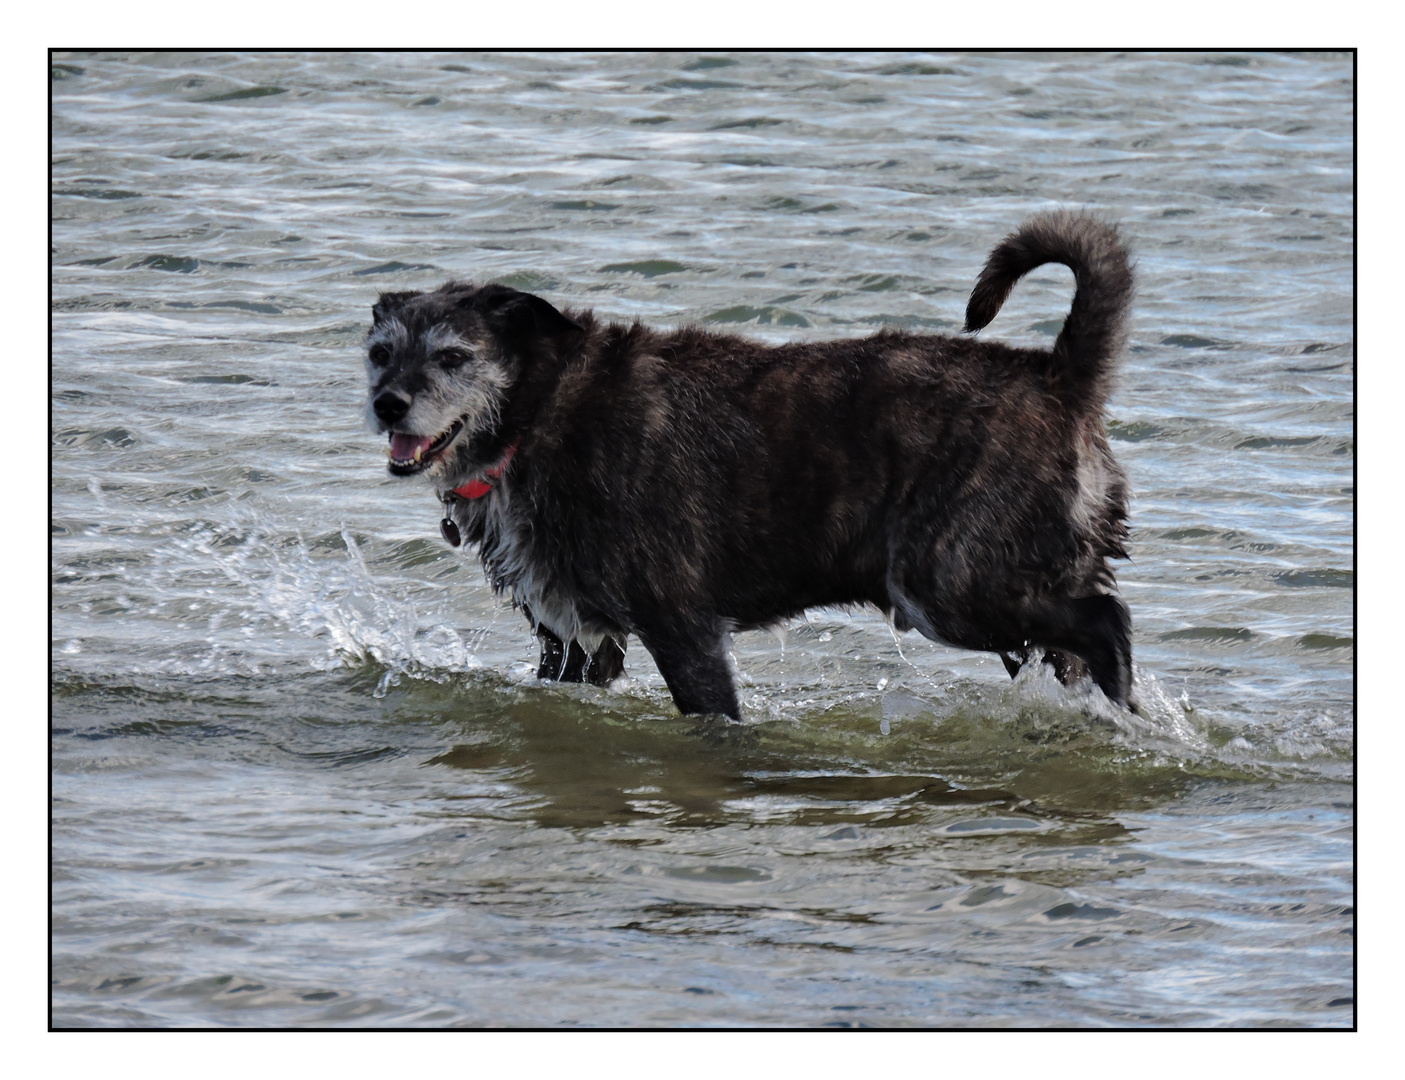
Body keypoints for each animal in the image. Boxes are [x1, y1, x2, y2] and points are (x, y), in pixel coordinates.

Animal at [365, 212, 1140, 719]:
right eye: (380, 351)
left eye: (452, 356)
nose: (387, 404)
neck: (541, 406)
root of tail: (1056, 377)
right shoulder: (576, 644)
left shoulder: (682, 629)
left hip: (946, 588)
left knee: (1106, 621)